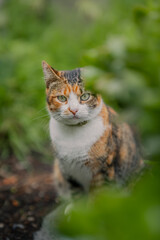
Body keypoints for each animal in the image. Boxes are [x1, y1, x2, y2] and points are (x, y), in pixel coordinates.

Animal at [42, 61, 143, 198]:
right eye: (62, 98)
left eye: (85, 96)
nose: (73, 110)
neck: (74, 135)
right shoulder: (67, 170)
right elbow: (76, 194)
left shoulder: (104, 169)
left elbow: (100, 195)